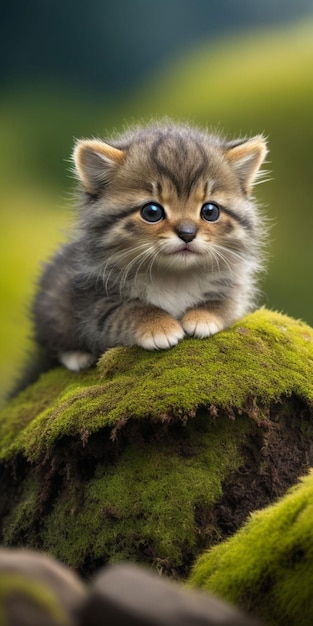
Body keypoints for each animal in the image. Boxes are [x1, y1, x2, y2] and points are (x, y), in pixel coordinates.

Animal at [32, 121, 268, 372]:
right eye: (152, 212)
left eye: (210, 211)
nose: (187, 234)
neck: (174, 276)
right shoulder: (94, 300)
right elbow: (129, 310)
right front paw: (158, 325)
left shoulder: (234, 287)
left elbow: (226, 302)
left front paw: (203, 316)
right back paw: (76, 356)